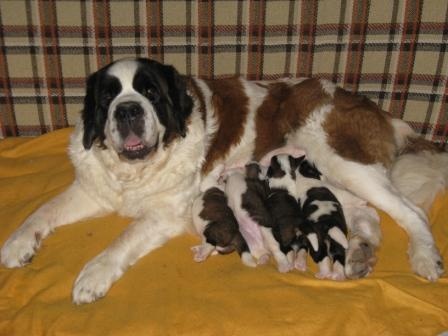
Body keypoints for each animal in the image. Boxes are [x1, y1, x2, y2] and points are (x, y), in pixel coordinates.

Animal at [1, 57, 446, 304]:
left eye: (150, 92)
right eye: (109, 97)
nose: (127, 110)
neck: (137, 170)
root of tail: (374, 106)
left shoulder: (165, 213)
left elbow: (122, 239)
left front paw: (93, 275)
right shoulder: (93, 189)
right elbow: (44, 210)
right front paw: (19, 243)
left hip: (339, 158)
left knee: (409, 211)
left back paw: (424, 257)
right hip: (328, 177)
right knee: (363, 211)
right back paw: (360, 252)